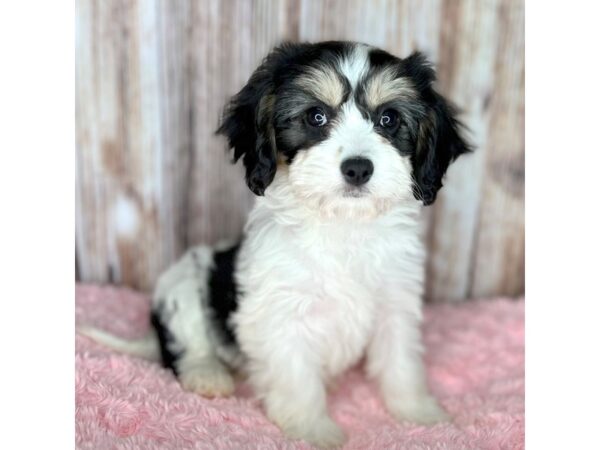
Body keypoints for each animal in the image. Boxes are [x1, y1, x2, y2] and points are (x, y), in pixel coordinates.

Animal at [79, 41, 472, 446]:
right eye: (316, 116)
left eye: (389, 119)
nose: (358, 168)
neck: (342, 224)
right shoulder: (281, 314)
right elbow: (297, 378)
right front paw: (314, 430)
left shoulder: (395, 302)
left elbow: (400, 361)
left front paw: (419, 414)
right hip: (184, 283)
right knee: (187, 342)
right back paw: (208, 374)